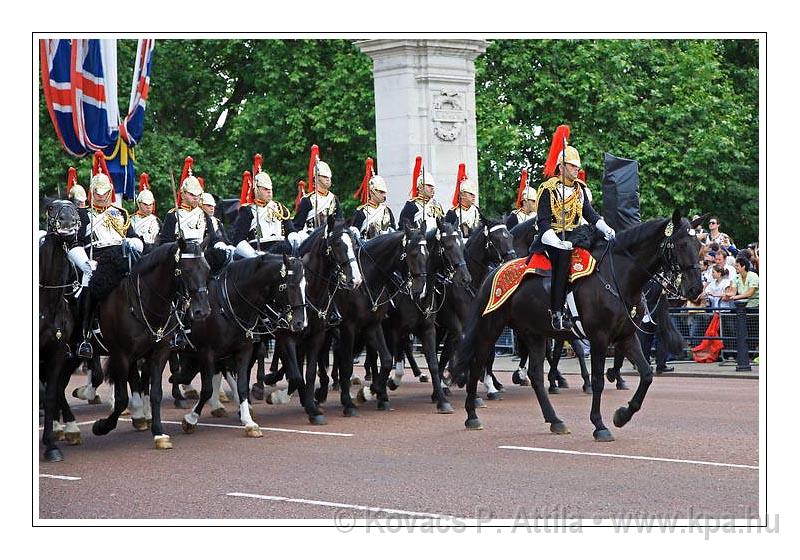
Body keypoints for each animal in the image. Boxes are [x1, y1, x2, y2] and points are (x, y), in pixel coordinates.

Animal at [334, 225, 428, 414]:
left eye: (427, 253)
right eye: (413, 253)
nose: (421, 290)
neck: (367, 280)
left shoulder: (374, 325)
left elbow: (386, 359)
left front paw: (374, 392)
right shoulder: (350, 327)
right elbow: (347, 362)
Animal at [454, 212, 704, 440]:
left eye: (699, 244)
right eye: (682, 244)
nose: (696, 289)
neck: (618, 277)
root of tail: (493, 272)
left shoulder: (625, 336)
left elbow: (646, 375)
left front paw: (622, 415)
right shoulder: (599, 337)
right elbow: (598, 380)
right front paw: (599, 425)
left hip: (534, 333)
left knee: (535, 374)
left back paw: (555, 420)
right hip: (491, 328)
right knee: (478, 363)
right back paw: (472, 413)